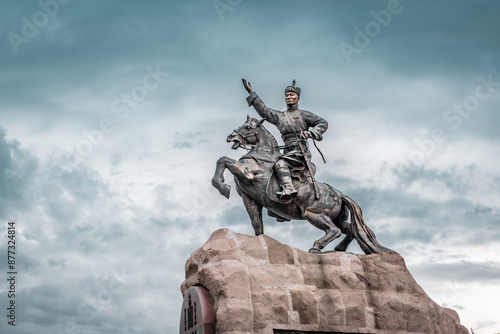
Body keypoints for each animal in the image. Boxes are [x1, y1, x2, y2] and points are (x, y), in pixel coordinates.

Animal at [211, 116, 394, 254]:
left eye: (248, 127)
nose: (230, 137)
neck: (262, 154)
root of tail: (339, 194)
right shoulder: (249, 198)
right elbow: (257, 224)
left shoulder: (247, 174)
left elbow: (223, 159)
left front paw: (221, 186)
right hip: (335, 218)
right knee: (350, 230)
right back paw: (339, 248)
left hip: (314, 214)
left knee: (333, 231)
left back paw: (316, 247)